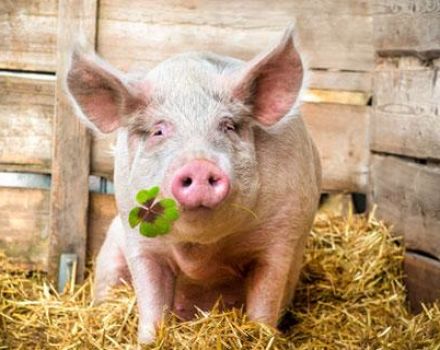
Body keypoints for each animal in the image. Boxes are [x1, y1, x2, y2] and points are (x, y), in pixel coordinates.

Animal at [68, 28, 324, 344]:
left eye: (228, 126)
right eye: (159, 130)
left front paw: (260, 335)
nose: (200, 165)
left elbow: (265, 299)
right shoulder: (138, 239)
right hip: (111, 248)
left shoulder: (281, 235)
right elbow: (151, 300)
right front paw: (148, 341)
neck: (201, 250)